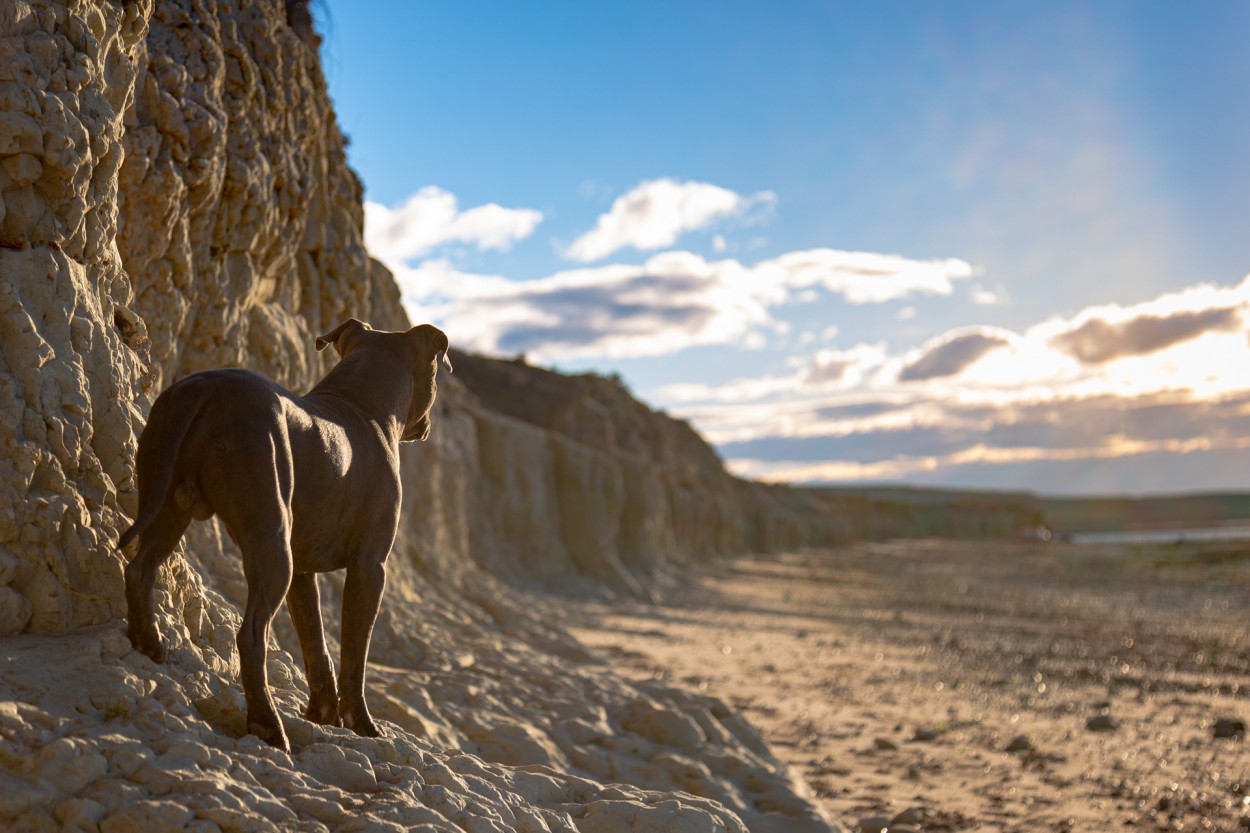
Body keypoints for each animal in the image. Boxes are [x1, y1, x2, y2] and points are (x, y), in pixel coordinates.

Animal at [117, 316, 450, 745]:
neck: (363, 405)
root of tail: (204, 388)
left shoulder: (304, 571)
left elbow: (314, 642)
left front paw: (323, 714)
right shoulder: (369, 568)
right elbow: (354, 653)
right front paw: (361, 723)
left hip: (167, 506)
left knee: (140, 569)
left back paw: (149, 642)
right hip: (272, 544)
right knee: (250, 635)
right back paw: (267, 725)